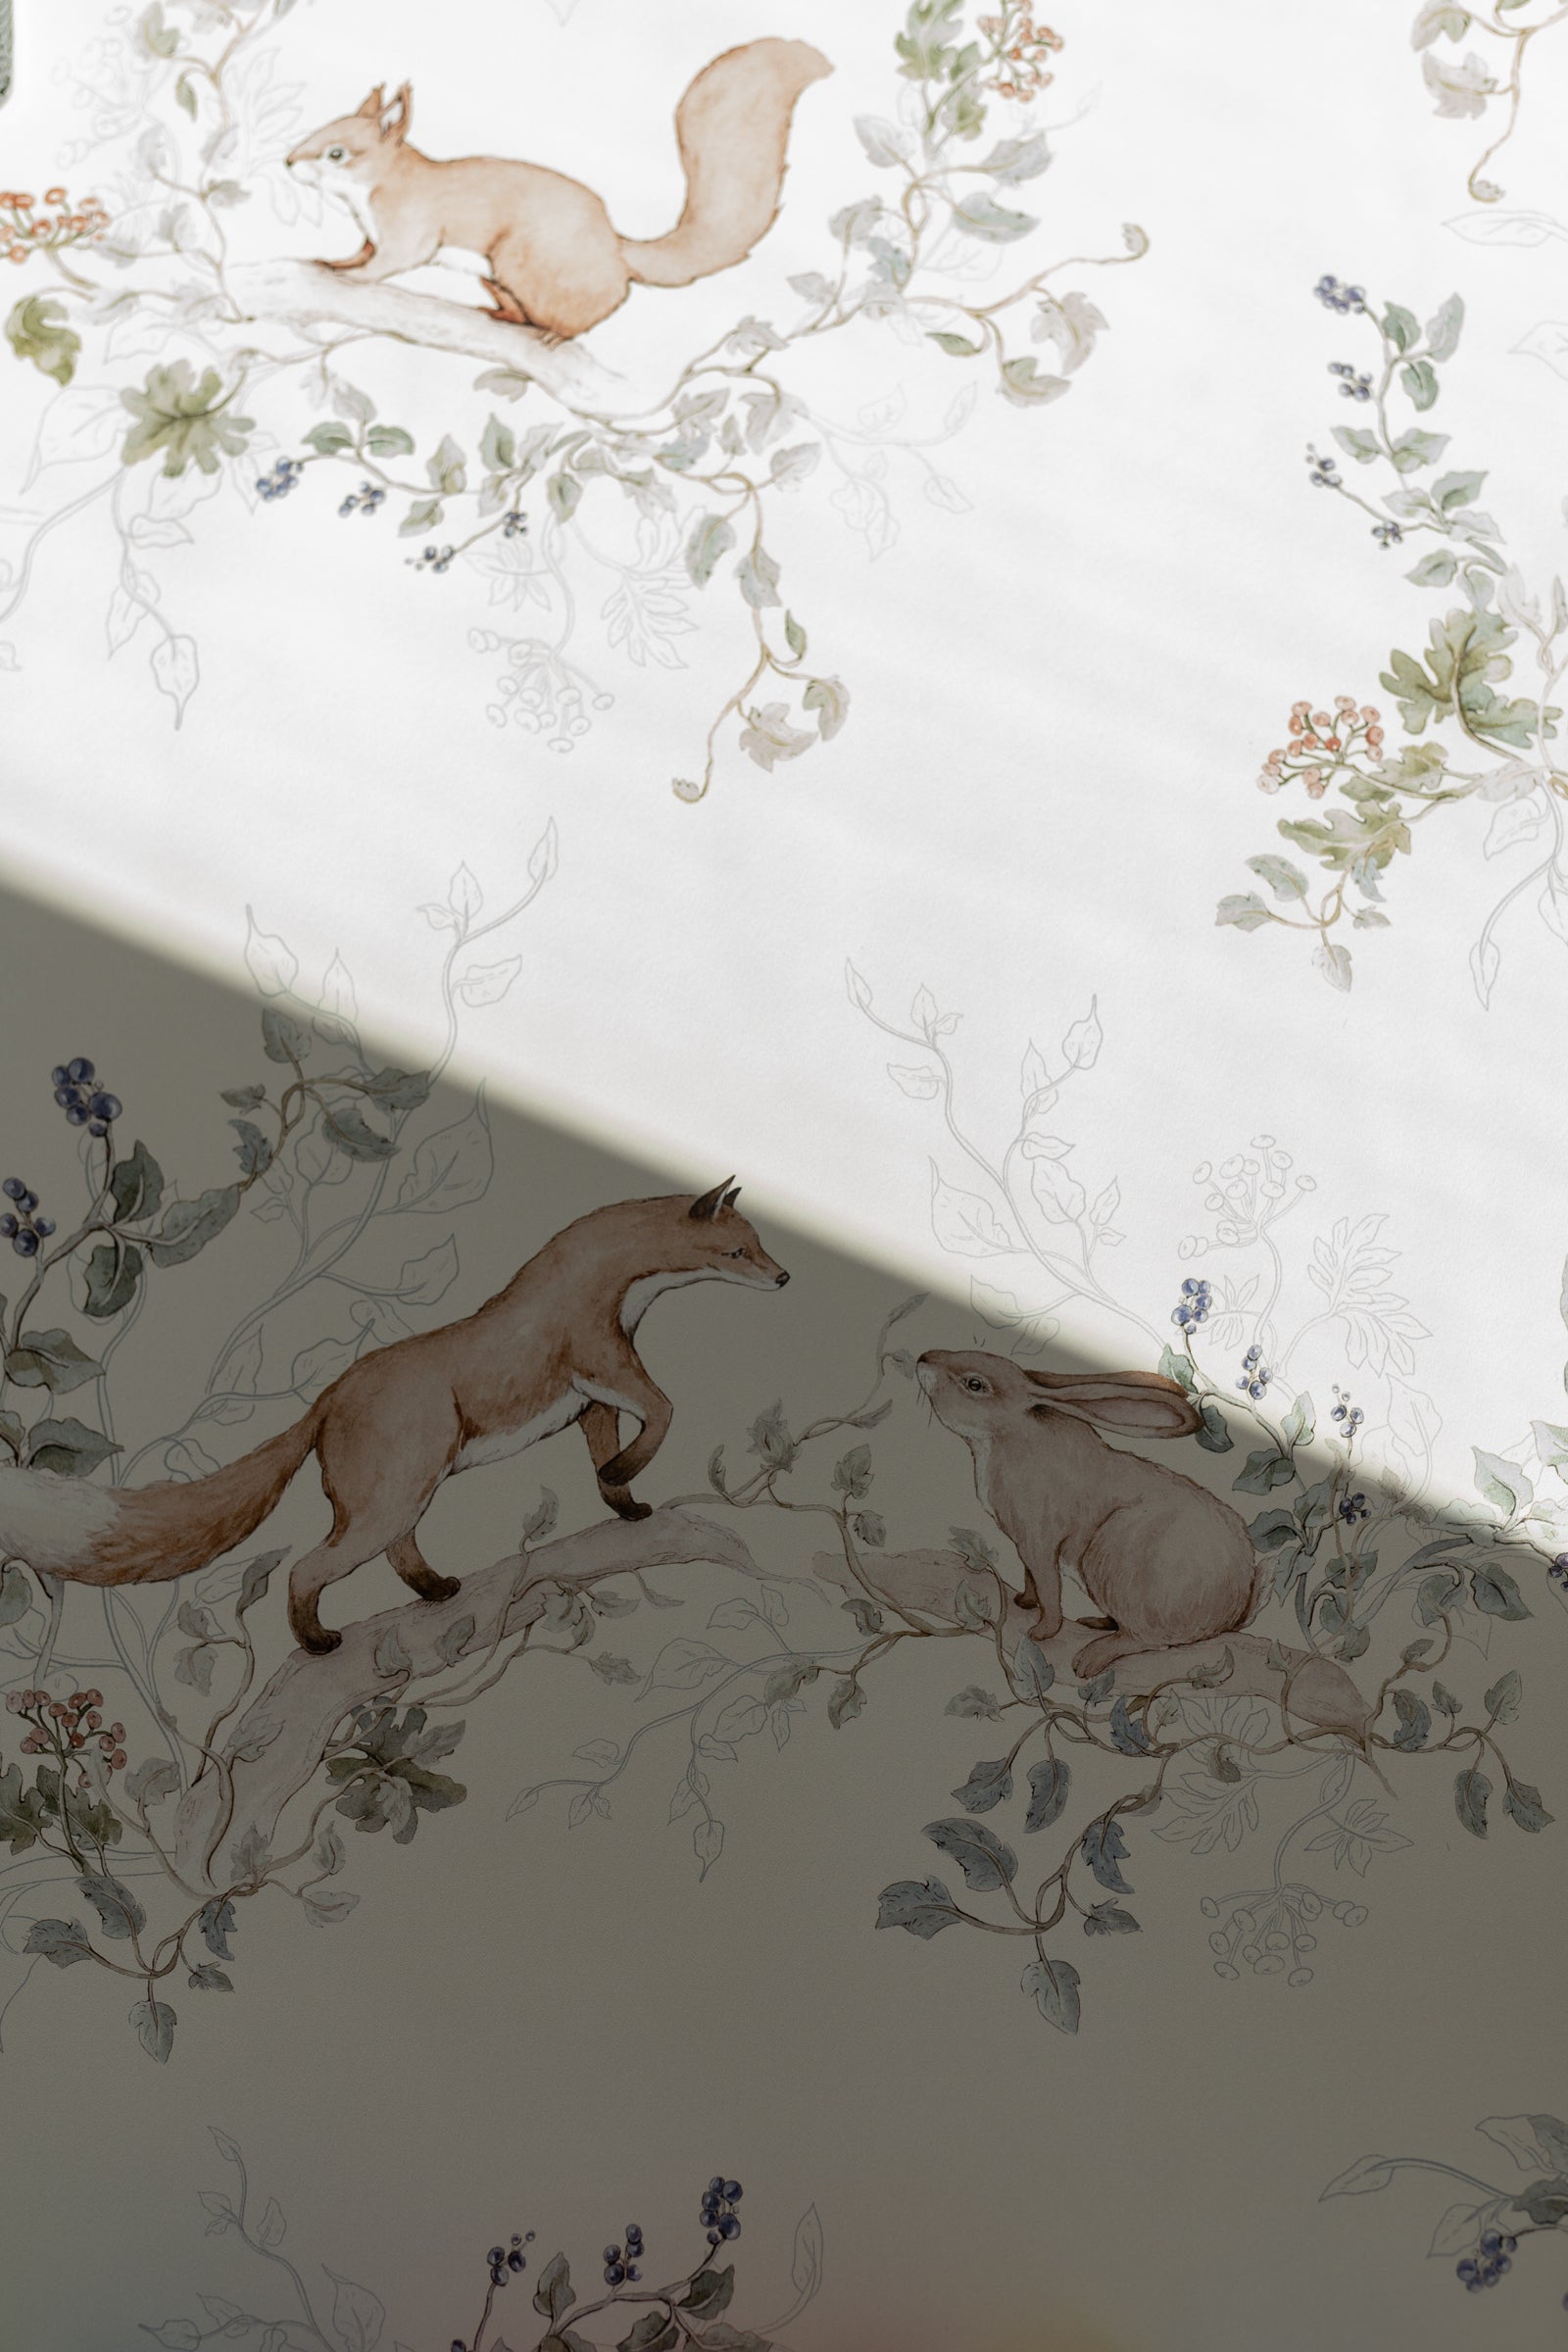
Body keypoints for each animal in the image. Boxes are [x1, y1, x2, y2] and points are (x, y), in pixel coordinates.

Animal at [1, 1182, 788, 1656]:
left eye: (760, 1242)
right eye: (737, 1250)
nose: (784, 1276)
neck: (615, 1282)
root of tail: (326, 1399)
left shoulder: (593, 1396)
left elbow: (612, 1460)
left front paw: (627, 1504)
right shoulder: (601, 1358)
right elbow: (664, 1413)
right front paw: (630, 1480)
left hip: (402, 1491)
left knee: (394, 1553)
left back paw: (439, 1591)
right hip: (396, 1490)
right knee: (310, 1566)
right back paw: (319, 1642)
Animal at [284, 38, 833, 341]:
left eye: (337, 154)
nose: (288, 161)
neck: (376, 188)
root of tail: (614, 249)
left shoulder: (409, 228)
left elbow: (391, 262)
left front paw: (358, 279)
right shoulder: (372, 234)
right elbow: (360, 253)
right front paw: (334, 263)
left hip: (526, 262)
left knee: (607, 303)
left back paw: (555, 334)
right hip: (497, 276)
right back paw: (506, 316)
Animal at [916, 1349, 1261, 1680]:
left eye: (975, 1384)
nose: (924, 1359)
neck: (1010, 1433)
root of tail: (1230, 1614)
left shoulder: (1039, 1541)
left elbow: (1048, 1587)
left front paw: (1042, 1631)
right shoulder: (1025, 1546)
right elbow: (1031, 1578)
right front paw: (1024, 1602)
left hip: (1113, 1557)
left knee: (1147, 1639)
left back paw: (1090, 1658)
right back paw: (1095, 1623)